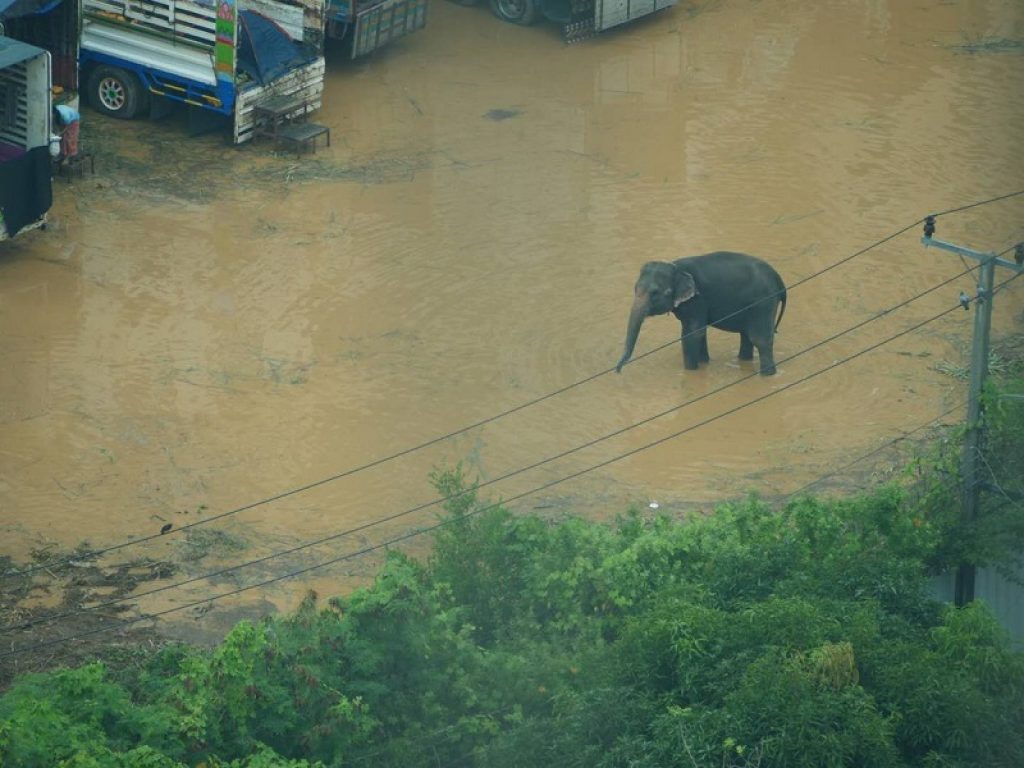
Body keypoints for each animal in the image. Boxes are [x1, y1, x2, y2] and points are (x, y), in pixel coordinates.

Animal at [615, 251, 787, 376]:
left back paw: (767, 375)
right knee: (746, 336)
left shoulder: (697, 300)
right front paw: (704, 363)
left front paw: (691, 372)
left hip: (763, 304)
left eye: (655, 293)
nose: (617, 370)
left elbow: (692, 334)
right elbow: (700, 333)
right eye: (635, 288)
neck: (676, 267)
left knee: (760, 340)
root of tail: (779, 279)